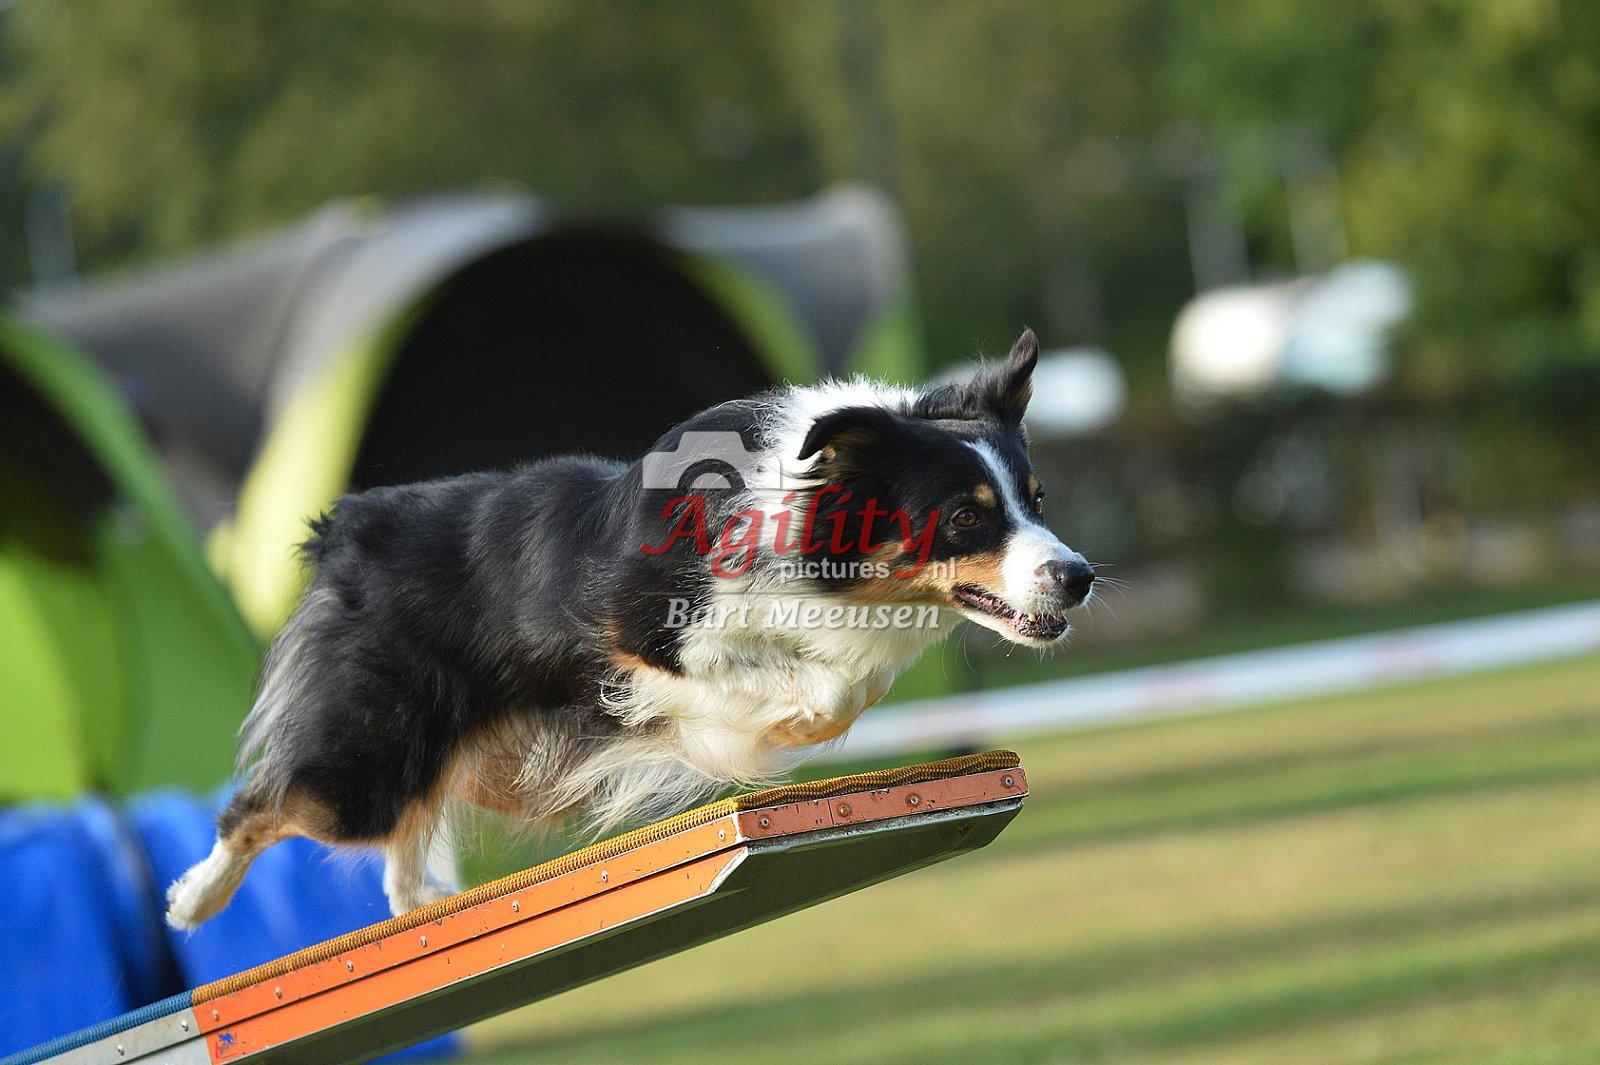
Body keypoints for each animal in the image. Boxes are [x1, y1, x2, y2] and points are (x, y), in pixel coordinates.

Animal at [165, 328, 1095, 928]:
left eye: (1037, 497)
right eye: (966, 517)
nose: (1079, 576)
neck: (806, 524)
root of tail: (352, 526)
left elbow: (846, 684)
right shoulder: (641, 629)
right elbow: (815, 687)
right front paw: (777, 718)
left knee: (399, 829)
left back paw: (424, 905)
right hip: (375, 743)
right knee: (272, 801)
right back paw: (192, 899)